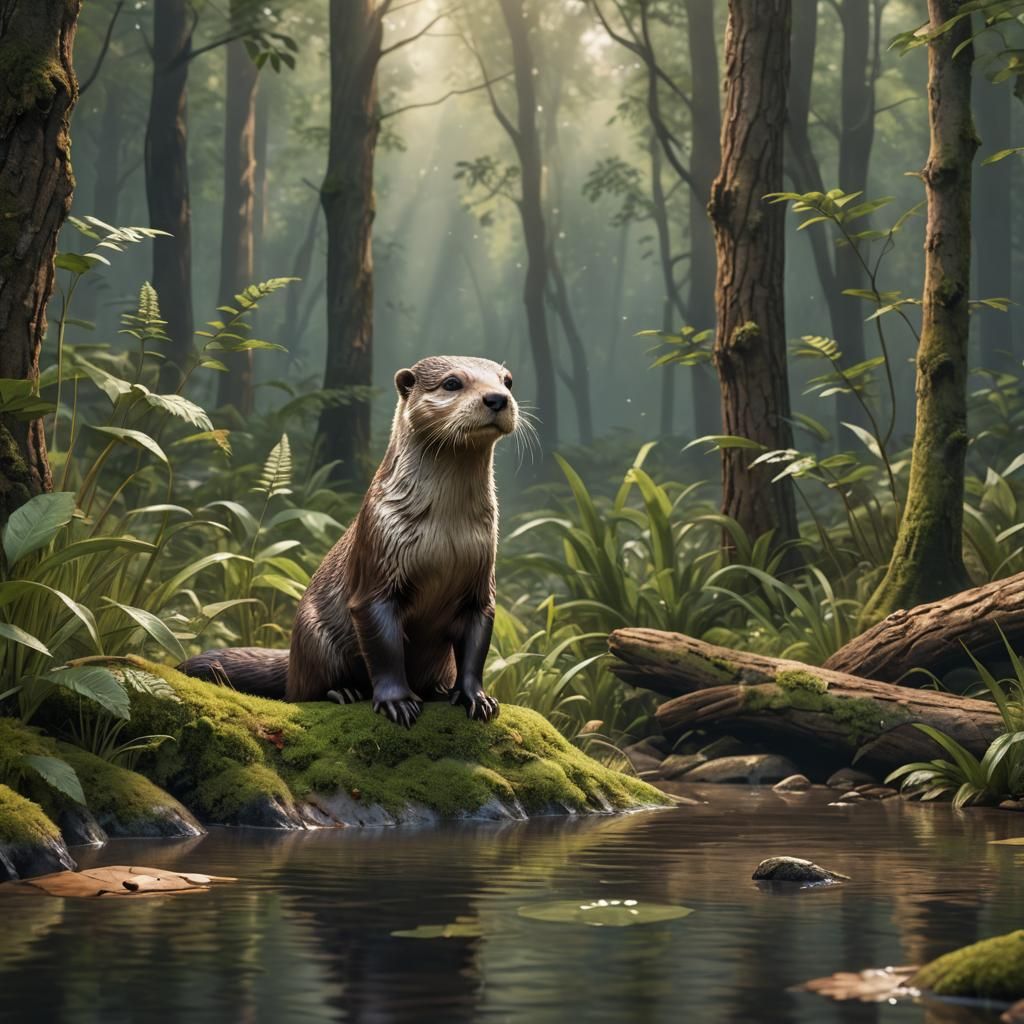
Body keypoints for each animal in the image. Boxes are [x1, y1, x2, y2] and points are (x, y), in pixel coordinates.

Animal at [179, 355, 520, 727]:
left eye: (507, 381)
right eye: (452, 383)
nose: (497, 398)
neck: (444, 535)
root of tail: (293, 658)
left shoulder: (480, 580)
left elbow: (475, 646)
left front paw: (477, 698)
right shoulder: (377, 561)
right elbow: (384, 648)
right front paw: (398, 702)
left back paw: (440, 691)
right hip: (313, 635)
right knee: (301, 692)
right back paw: (342, 692)